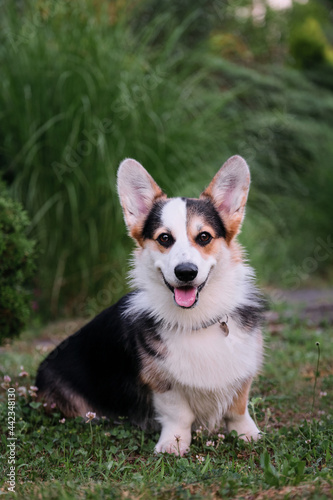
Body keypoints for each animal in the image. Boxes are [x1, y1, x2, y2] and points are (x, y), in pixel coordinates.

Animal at [35, 157, 264, 458]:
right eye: (164, 238)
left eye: (204, 237)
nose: (186, 272)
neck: (195, 318)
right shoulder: (161, 381)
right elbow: (179, 414)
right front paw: (173, 444)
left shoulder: (241, 367)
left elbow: (238, 407)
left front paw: (248, 434)